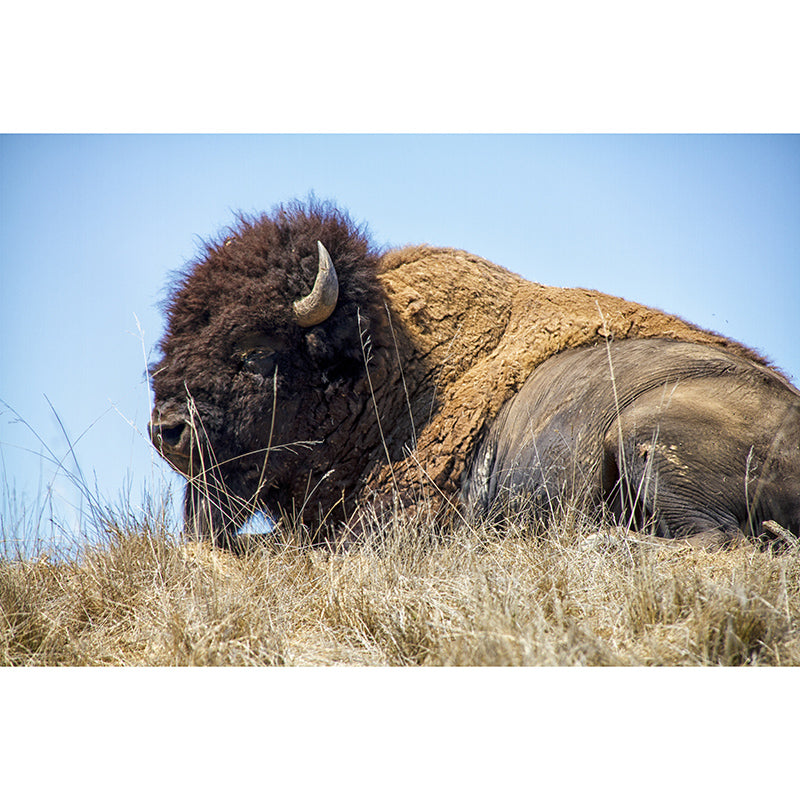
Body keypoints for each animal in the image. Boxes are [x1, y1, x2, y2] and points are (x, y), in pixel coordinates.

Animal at [149, 199, 800, 550]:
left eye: (256, 353)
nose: (167, 430)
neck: (392, 371)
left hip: (644, 432)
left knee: (717, 538)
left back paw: (600, 543)